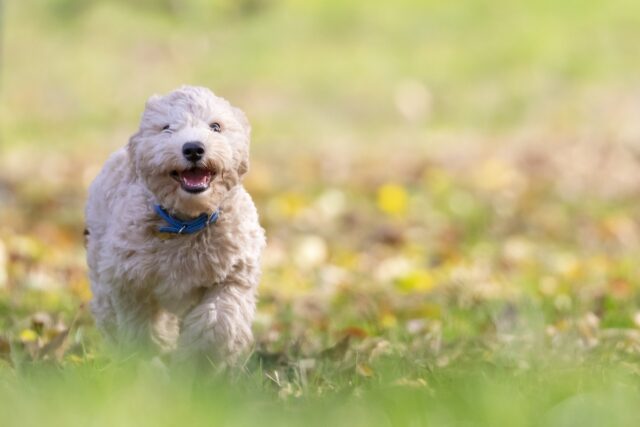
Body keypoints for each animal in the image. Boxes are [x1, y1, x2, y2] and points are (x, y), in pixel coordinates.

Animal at [85, 85, 264, 366]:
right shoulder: (130, 281)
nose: (193, 149)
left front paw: (198, 363)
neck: (187, 223)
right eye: (166, 127)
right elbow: (142, 327)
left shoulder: (234, 275)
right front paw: (149, 360)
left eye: (215, 126)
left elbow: (219, 321)